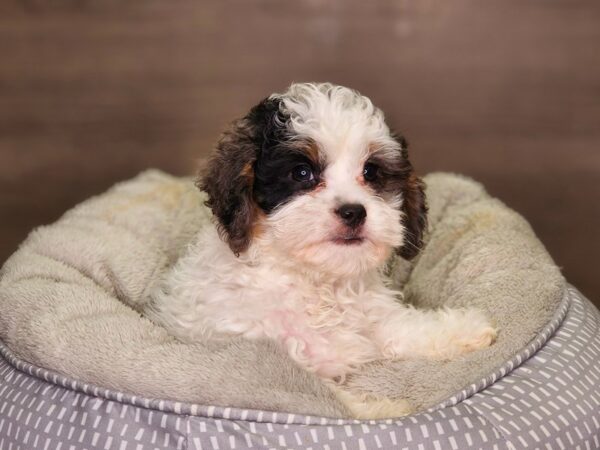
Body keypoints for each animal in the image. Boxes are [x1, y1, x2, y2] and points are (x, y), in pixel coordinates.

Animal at [149, 82, 496, 420]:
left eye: (371, 172)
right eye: (302, 173)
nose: (353, 212)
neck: (315, 282)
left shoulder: (373, 318)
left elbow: (407, 328)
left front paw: (465, 329)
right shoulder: (274, 362)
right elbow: (332, 399)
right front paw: (381, 411)